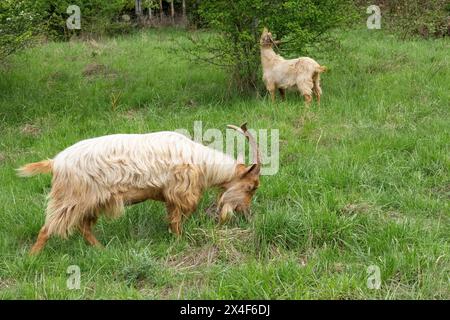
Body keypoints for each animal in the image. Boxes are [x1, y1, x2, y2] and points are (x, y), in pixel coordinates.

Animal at [18, 124, 260, 254]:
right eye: (251, 187)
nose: (246, 213)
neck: (201, 162)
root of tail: (55, 162)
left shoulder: (170, 197)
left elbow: (173, 219)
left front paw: (175, 239)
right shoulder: (180, 192)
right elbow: (178, 219)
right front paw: (180, 241)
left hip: (92, 201)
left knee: (84, 228)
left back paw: (102, 251)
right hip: (70, 198)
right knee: (47, 228)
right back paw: (32, 258)